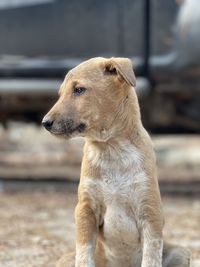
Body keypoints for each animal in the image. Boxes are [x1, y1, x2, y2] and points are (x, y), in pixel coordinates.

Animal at [42, 58, 191, 267]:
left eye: (79, 89)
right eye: (60, 93)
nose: (45, 123)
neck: (112, 150)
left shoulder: (150, 212)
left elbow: (151, 257)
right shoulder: (85, 209)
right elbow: (84, 255)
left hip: (181, 252)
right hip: (65, 259)